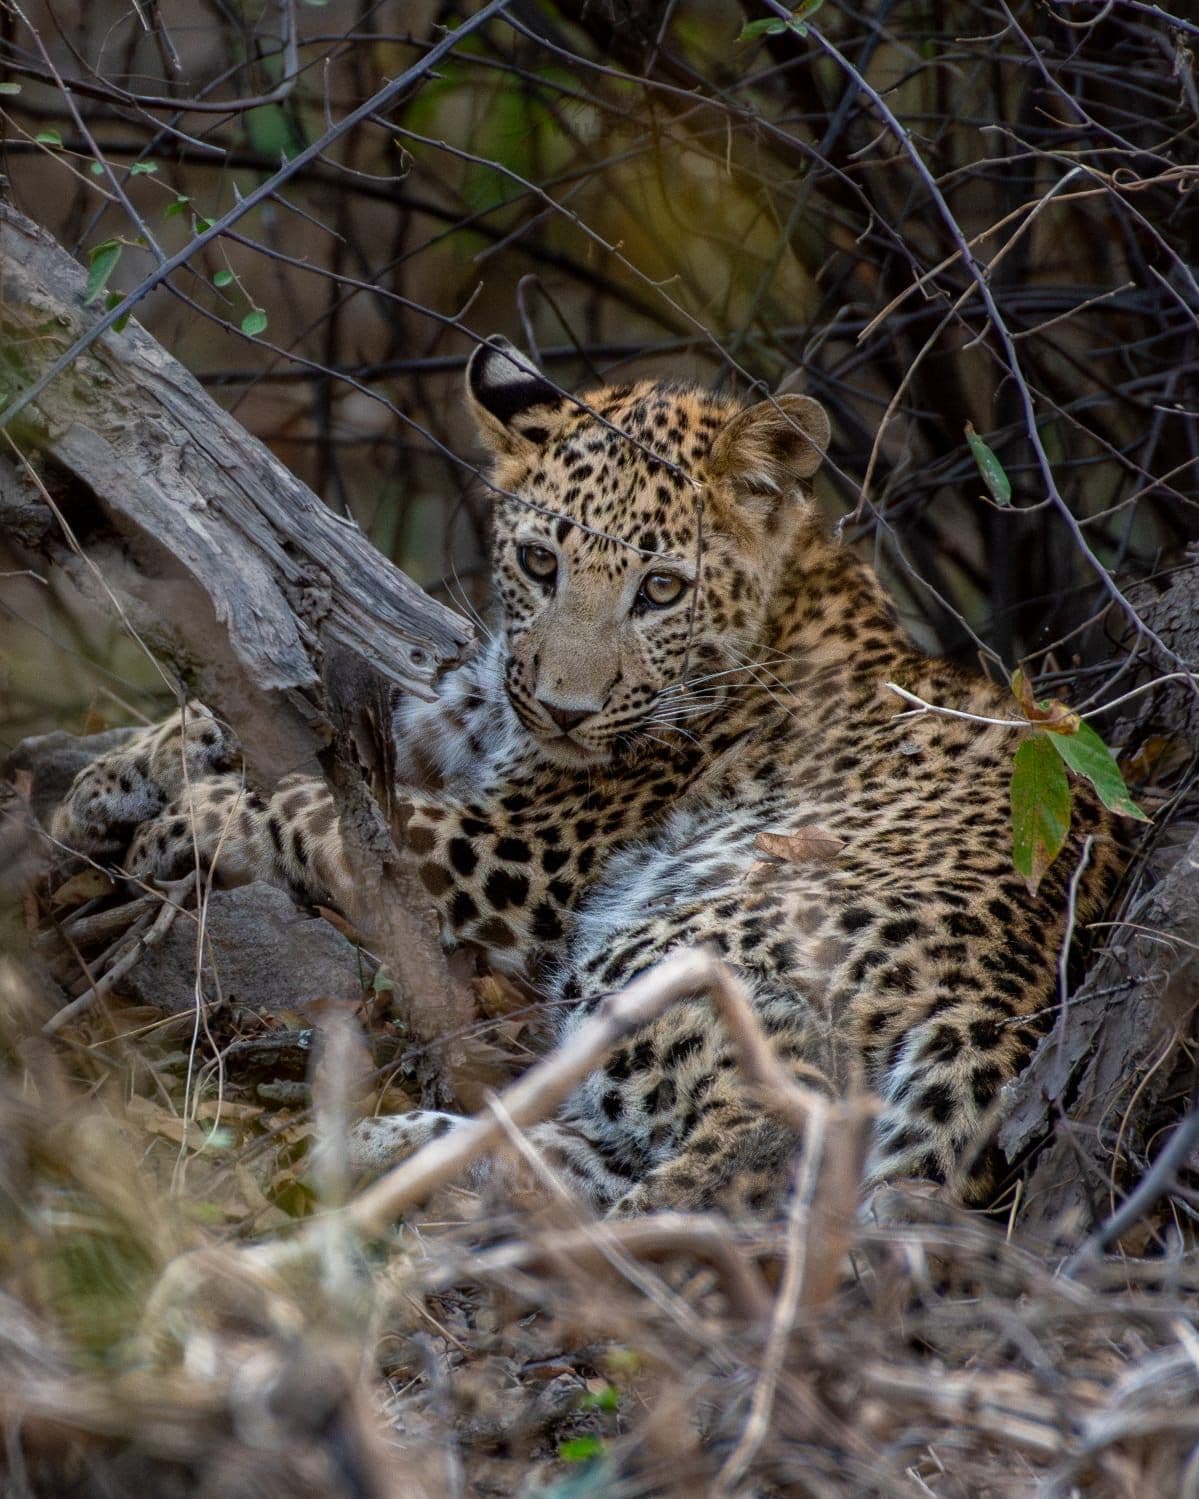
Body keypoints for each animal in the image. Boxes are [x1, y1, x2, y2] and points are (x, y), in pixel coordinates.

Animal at [51, 336, 1124, 1215]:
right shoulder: (464, 707)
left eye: (660, 589)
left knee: (768, 1130)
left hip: (676, 934)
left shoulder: (518, 851)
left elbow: (324, 808)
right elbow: (282, 721)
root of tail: (1006, 1006)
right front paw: (102, 787)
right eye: (538, 563)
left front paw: (190, 821)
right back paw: (386, 1153)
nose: (566, 708)